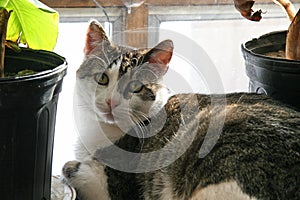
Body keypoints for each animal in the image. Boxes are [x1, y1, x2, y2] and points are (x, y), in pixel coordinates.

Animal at [63, 19, 300, 200]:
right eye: (102, 78)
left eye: (136, 86)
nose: (112, 102)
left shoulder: (113, 184)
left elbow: (72, 168)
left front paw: (72, 167)